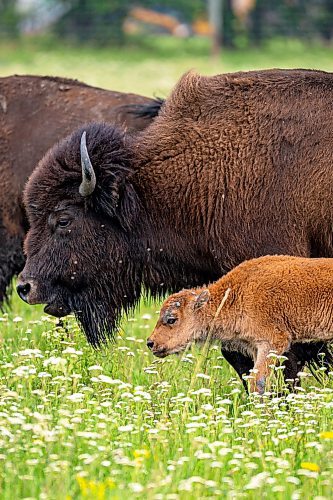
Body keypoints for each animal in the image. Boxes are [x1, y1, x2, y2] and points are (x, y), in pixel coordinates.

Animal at [147, 256, 332, 392]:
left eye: (171, 319)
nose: (151, 343)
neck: (235, 294)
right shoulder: (255, 347)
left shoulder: (272, 342)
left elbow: (258, 381)